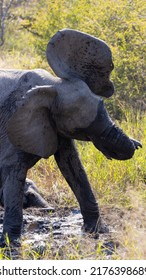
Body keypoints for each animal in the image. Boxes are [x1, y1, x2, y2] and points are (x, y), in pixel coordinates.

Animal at [0, 28, 141, 245]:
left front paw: (97, 231)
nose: (137, 146)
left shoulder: (54, 126)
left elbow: (72, 165)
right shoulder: (13, 125)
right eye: (81, 130)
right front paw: (11, 245)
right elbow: (14, 172)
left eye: (103, 106)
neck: (51, 85)